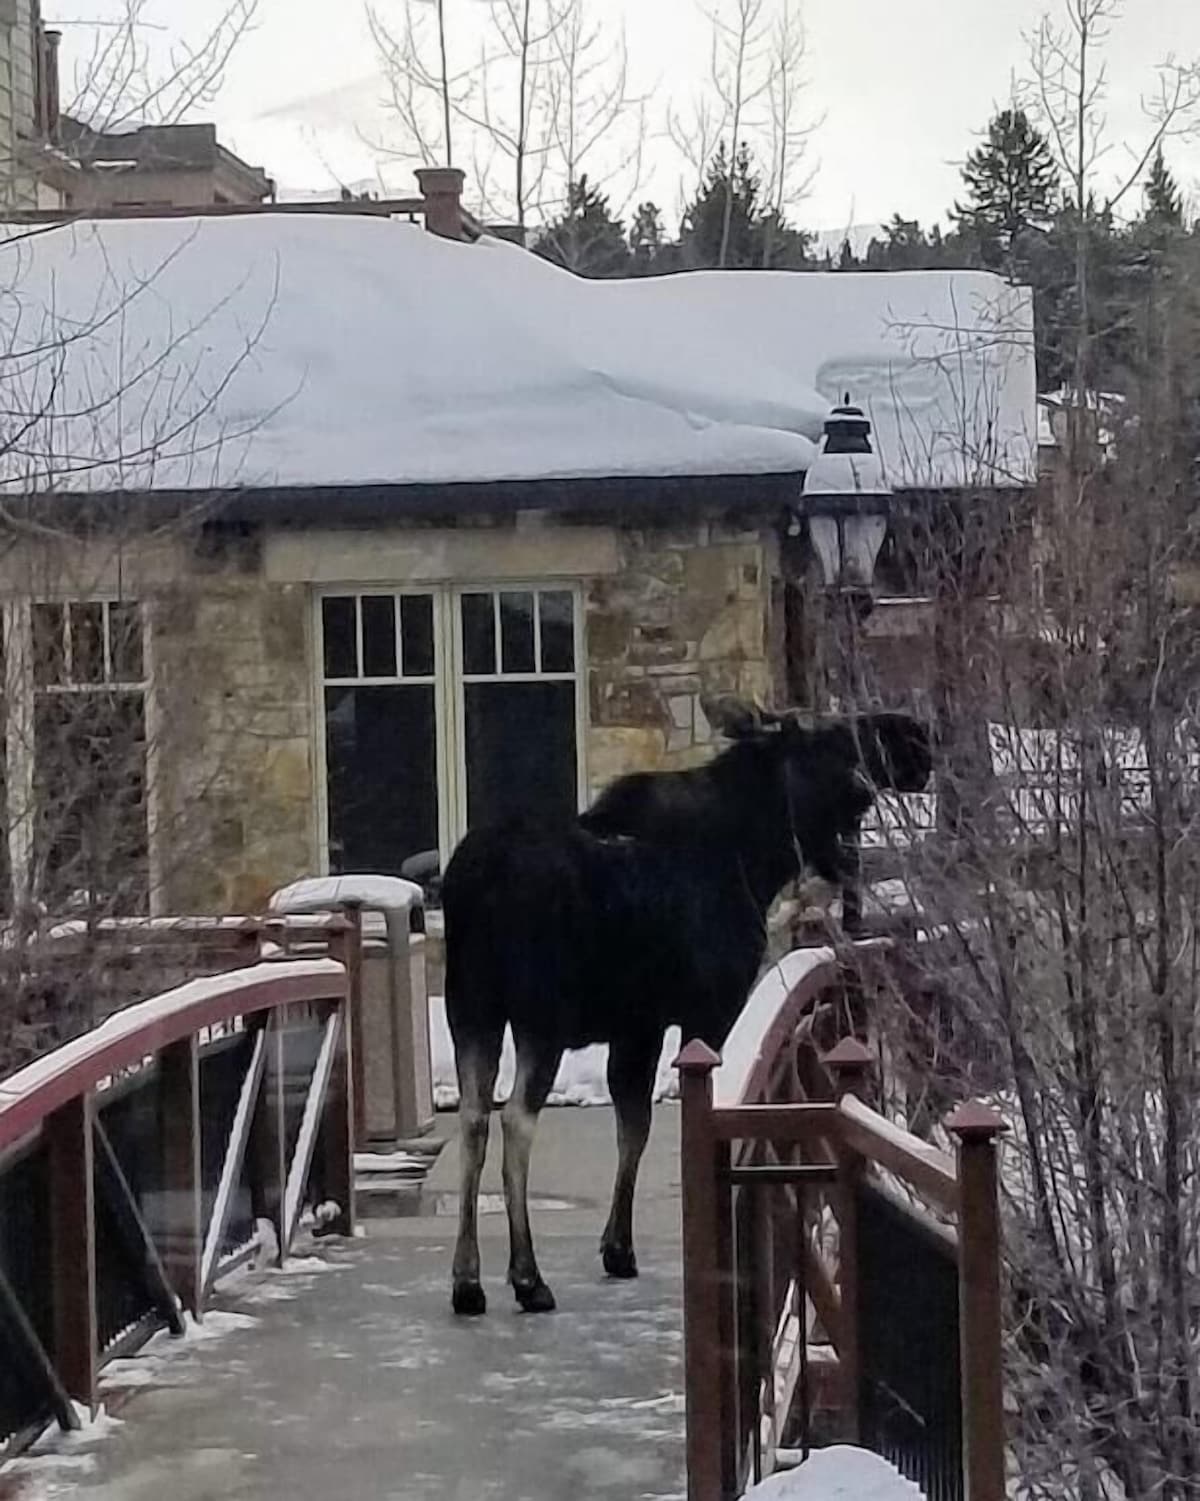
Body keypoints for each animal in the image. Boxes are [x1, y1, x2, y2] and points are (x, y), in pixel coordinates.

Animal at [441, 693, 931, 1314]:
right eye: (830, 737)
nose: (914, 740)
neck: (754, 858)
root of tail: (470, 885)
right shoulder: (706, 1010)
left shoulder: (638, 1025)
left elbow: (635, 1126)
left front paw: (618, 1248)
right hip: (538, 1018)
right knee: (515, 1120)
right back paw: (527, 1277)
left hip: (471, 1013)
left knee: (473, 1120)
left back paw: (466, 1279)